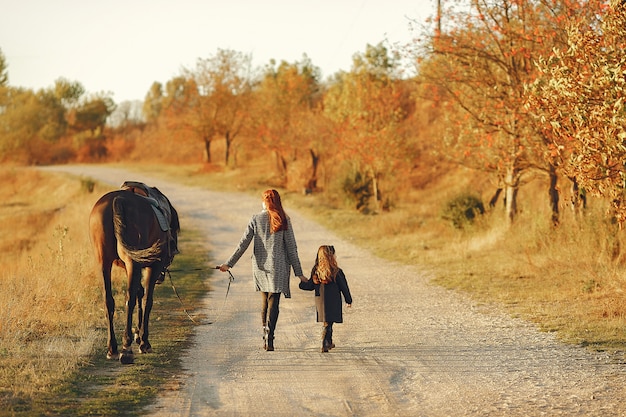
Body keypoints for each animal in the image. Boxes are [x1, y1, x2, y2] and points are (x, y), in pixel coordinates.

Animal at [87, 184, 178, 362]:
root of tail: (118, 199)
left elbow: (139, 293)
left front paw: (138, 334)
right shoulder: (153, 267)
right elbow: (147, 300)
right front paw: (143, 341)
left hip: (104, 262)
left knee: (109, 300)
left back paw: (113, 348)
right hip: (132, 262)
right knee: (129, 299)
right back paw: (126, 347)